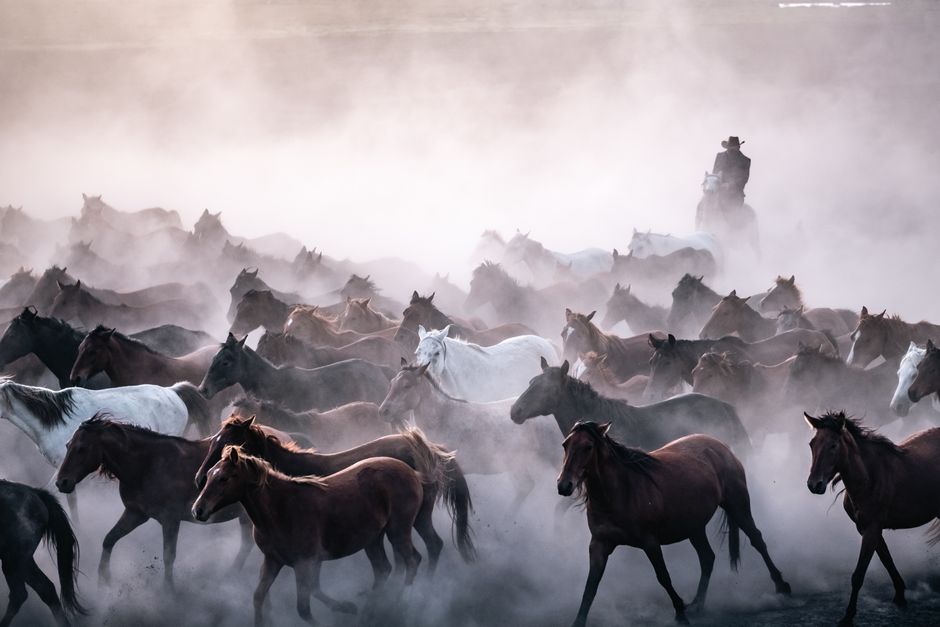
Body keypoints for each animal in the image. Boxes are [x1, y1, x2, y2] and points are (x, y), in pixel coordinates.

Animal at [54, 416, 254, 589]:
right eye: (67, 445)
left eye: (82, 448)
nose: (61, 482)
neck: (146, 464)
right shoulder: (135, 514)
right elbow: (109, 539)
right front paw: (104, 580)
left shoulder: (170, 520)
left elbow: (168, 556)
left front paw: (168, 590)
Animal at [192, 446, 424, 625]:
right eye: (210, 474)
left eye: (223, 478)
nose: (198, 510)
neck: (280, 509)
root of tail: (412, 473)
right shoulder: (273, 561)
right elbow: (259, 597)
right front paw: (346, 607)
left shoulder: (305, 563)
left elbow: (303, 608)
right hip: (373, 539)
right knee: (383, 569)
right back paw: (369, 612)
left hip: (398, 531)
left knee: (413, 560)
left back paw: (403, 604)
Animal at [195, 414, 474, 572]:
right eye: (213, 441)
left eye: (227, 443)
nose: (199, 479)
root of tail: (431, 450)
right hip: (417, 517)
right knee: (433, 545)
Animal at [559, 422, 788, 626]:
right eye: (565, 444)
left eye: (588, 447)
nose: (564, 485)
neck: (621, 492)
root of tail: (721, 446)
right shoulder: (599, 545)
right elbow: (591, 585)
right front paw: (578, 621)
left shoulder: (650, 542)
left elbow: (663, 577)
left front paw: (680, 612)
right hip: (695, 527)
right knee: (707, 558)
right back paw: (697, 604)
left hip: (737, 506)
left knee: (757, 540)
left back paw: (782, 585)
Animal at [805, 411, 940, 626]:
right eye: (812, 444)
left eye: (833, 445)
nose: (814, 485)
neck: (869, 476)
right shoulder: (867, 529)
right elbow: (887, 559)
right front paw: (900, 597)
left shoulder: (872, 529)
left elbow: (859, 574)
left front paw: (848, 615)